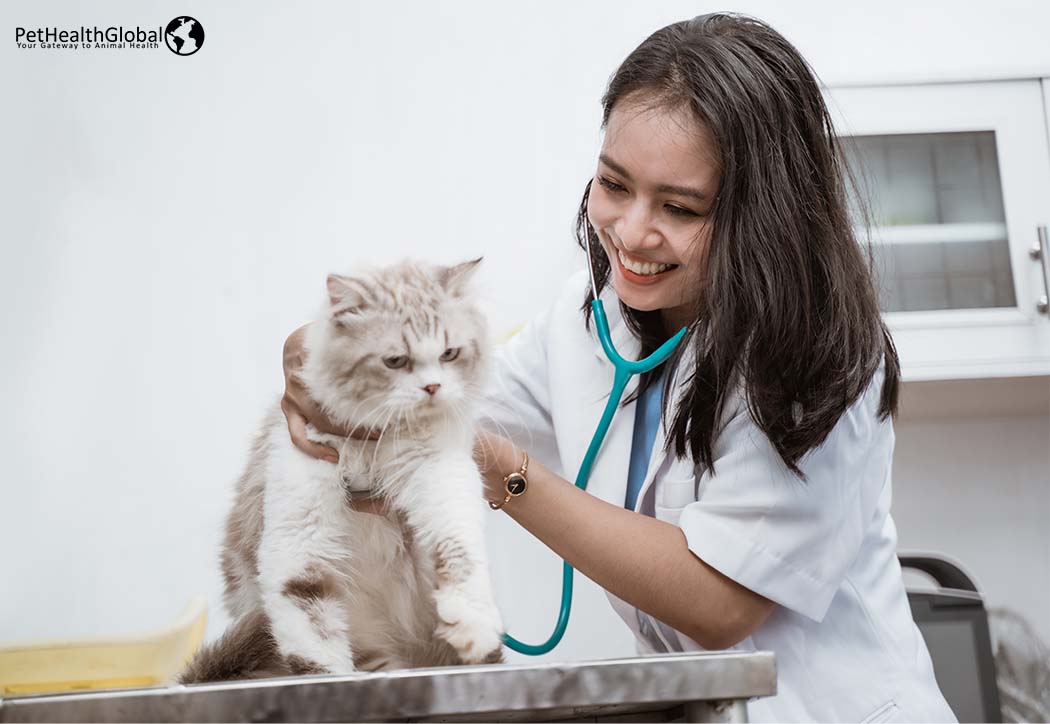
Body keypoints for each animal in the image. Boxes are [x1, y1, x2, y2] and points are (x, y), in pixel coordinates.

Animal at [179, 257, 503, 679]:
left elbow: (459, 551)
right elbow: (315, 644)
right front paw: (331, 678)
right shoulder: (300, 533)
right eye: (395, 360)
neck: (372, 446)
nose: (433, 387)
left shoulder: (440, 475)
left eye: (449, 353)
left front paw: (472, 626)